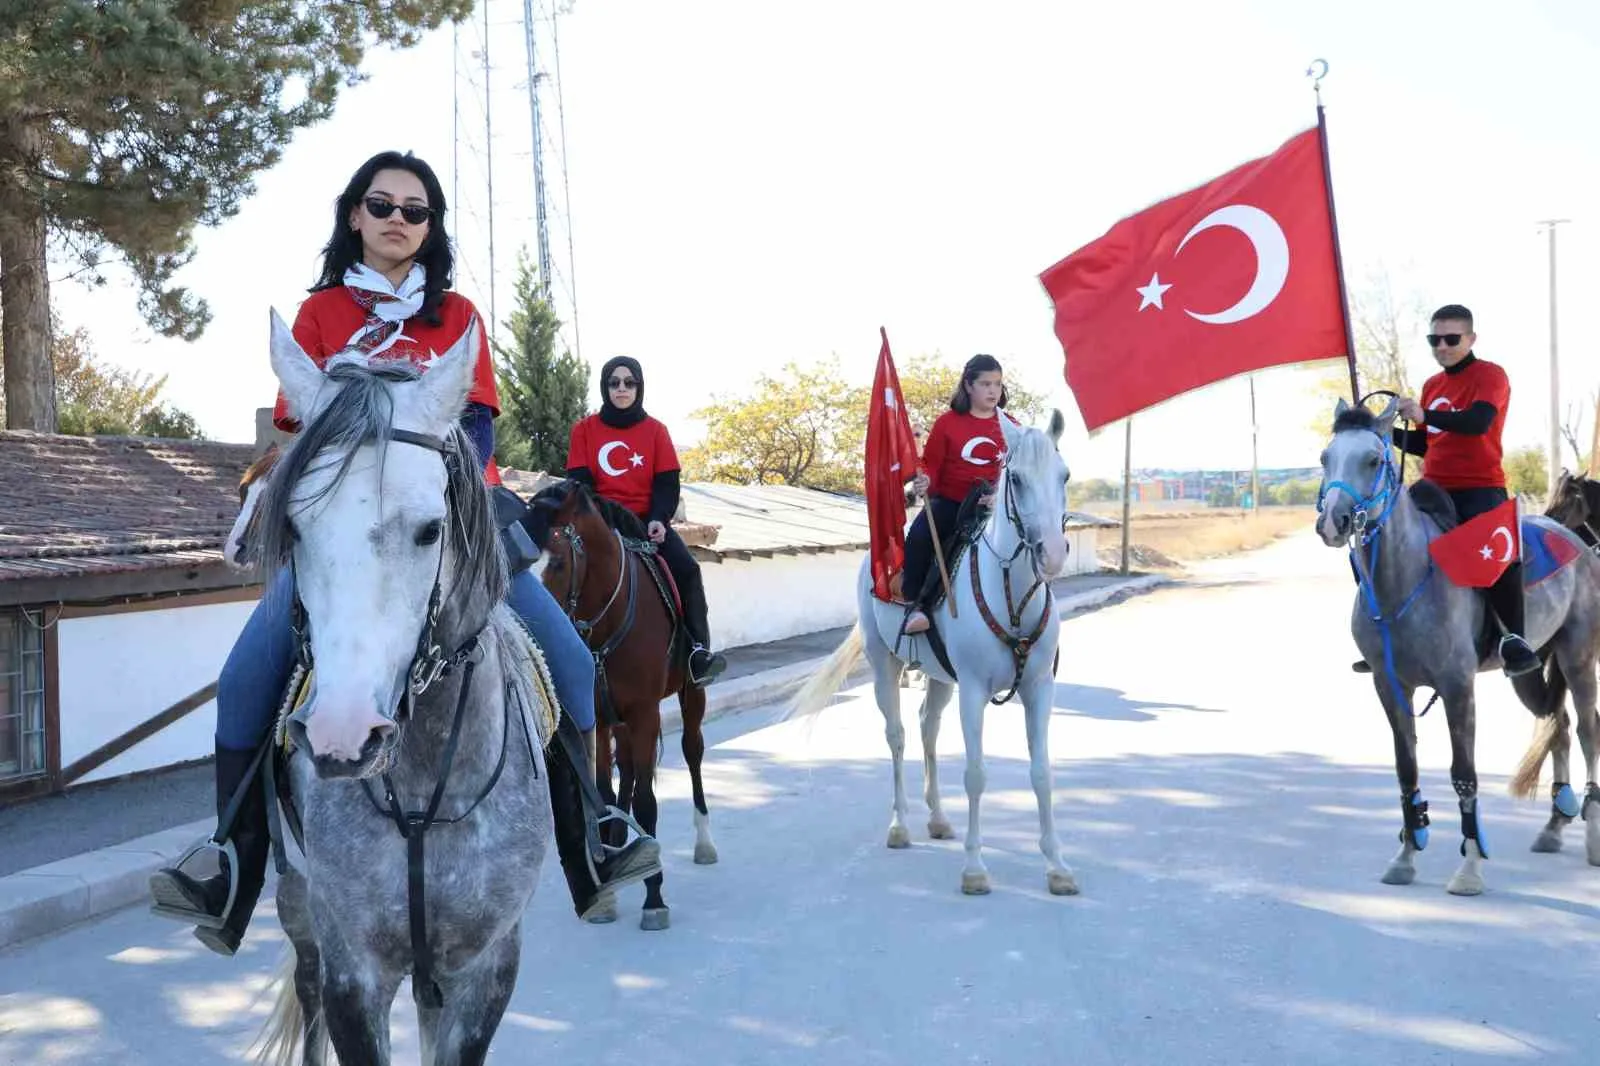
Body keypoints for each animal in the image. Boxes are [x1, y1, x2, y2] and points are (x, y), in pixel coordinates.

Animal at [531, 476, 720, 928]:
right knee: (629, 769)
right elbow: (601, 788)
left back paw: (703, 843)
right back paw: (621, 839)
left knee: (691, 753)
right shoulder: (599, 716)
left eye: (558, 562)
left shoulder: (645, 712)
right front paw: (610, 876)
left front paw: (654, 897)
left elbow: (648, 803)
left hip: (691, 696)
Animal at [787, 409, 1075, 889]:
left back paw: (938, 818)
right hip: (884, 664)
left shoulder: (1039, 688)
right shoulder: (974, 691)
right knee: (898, 736)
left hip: (940, 677)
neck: (1011, 596)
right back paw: (900, 825)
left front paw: (1057, 866)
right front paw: (975, 868)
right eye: (1015, 478)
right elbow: (975, 774)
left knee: (927, 727)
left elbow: (1042, 773)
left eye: (1064, 475)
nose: (1051, 554)